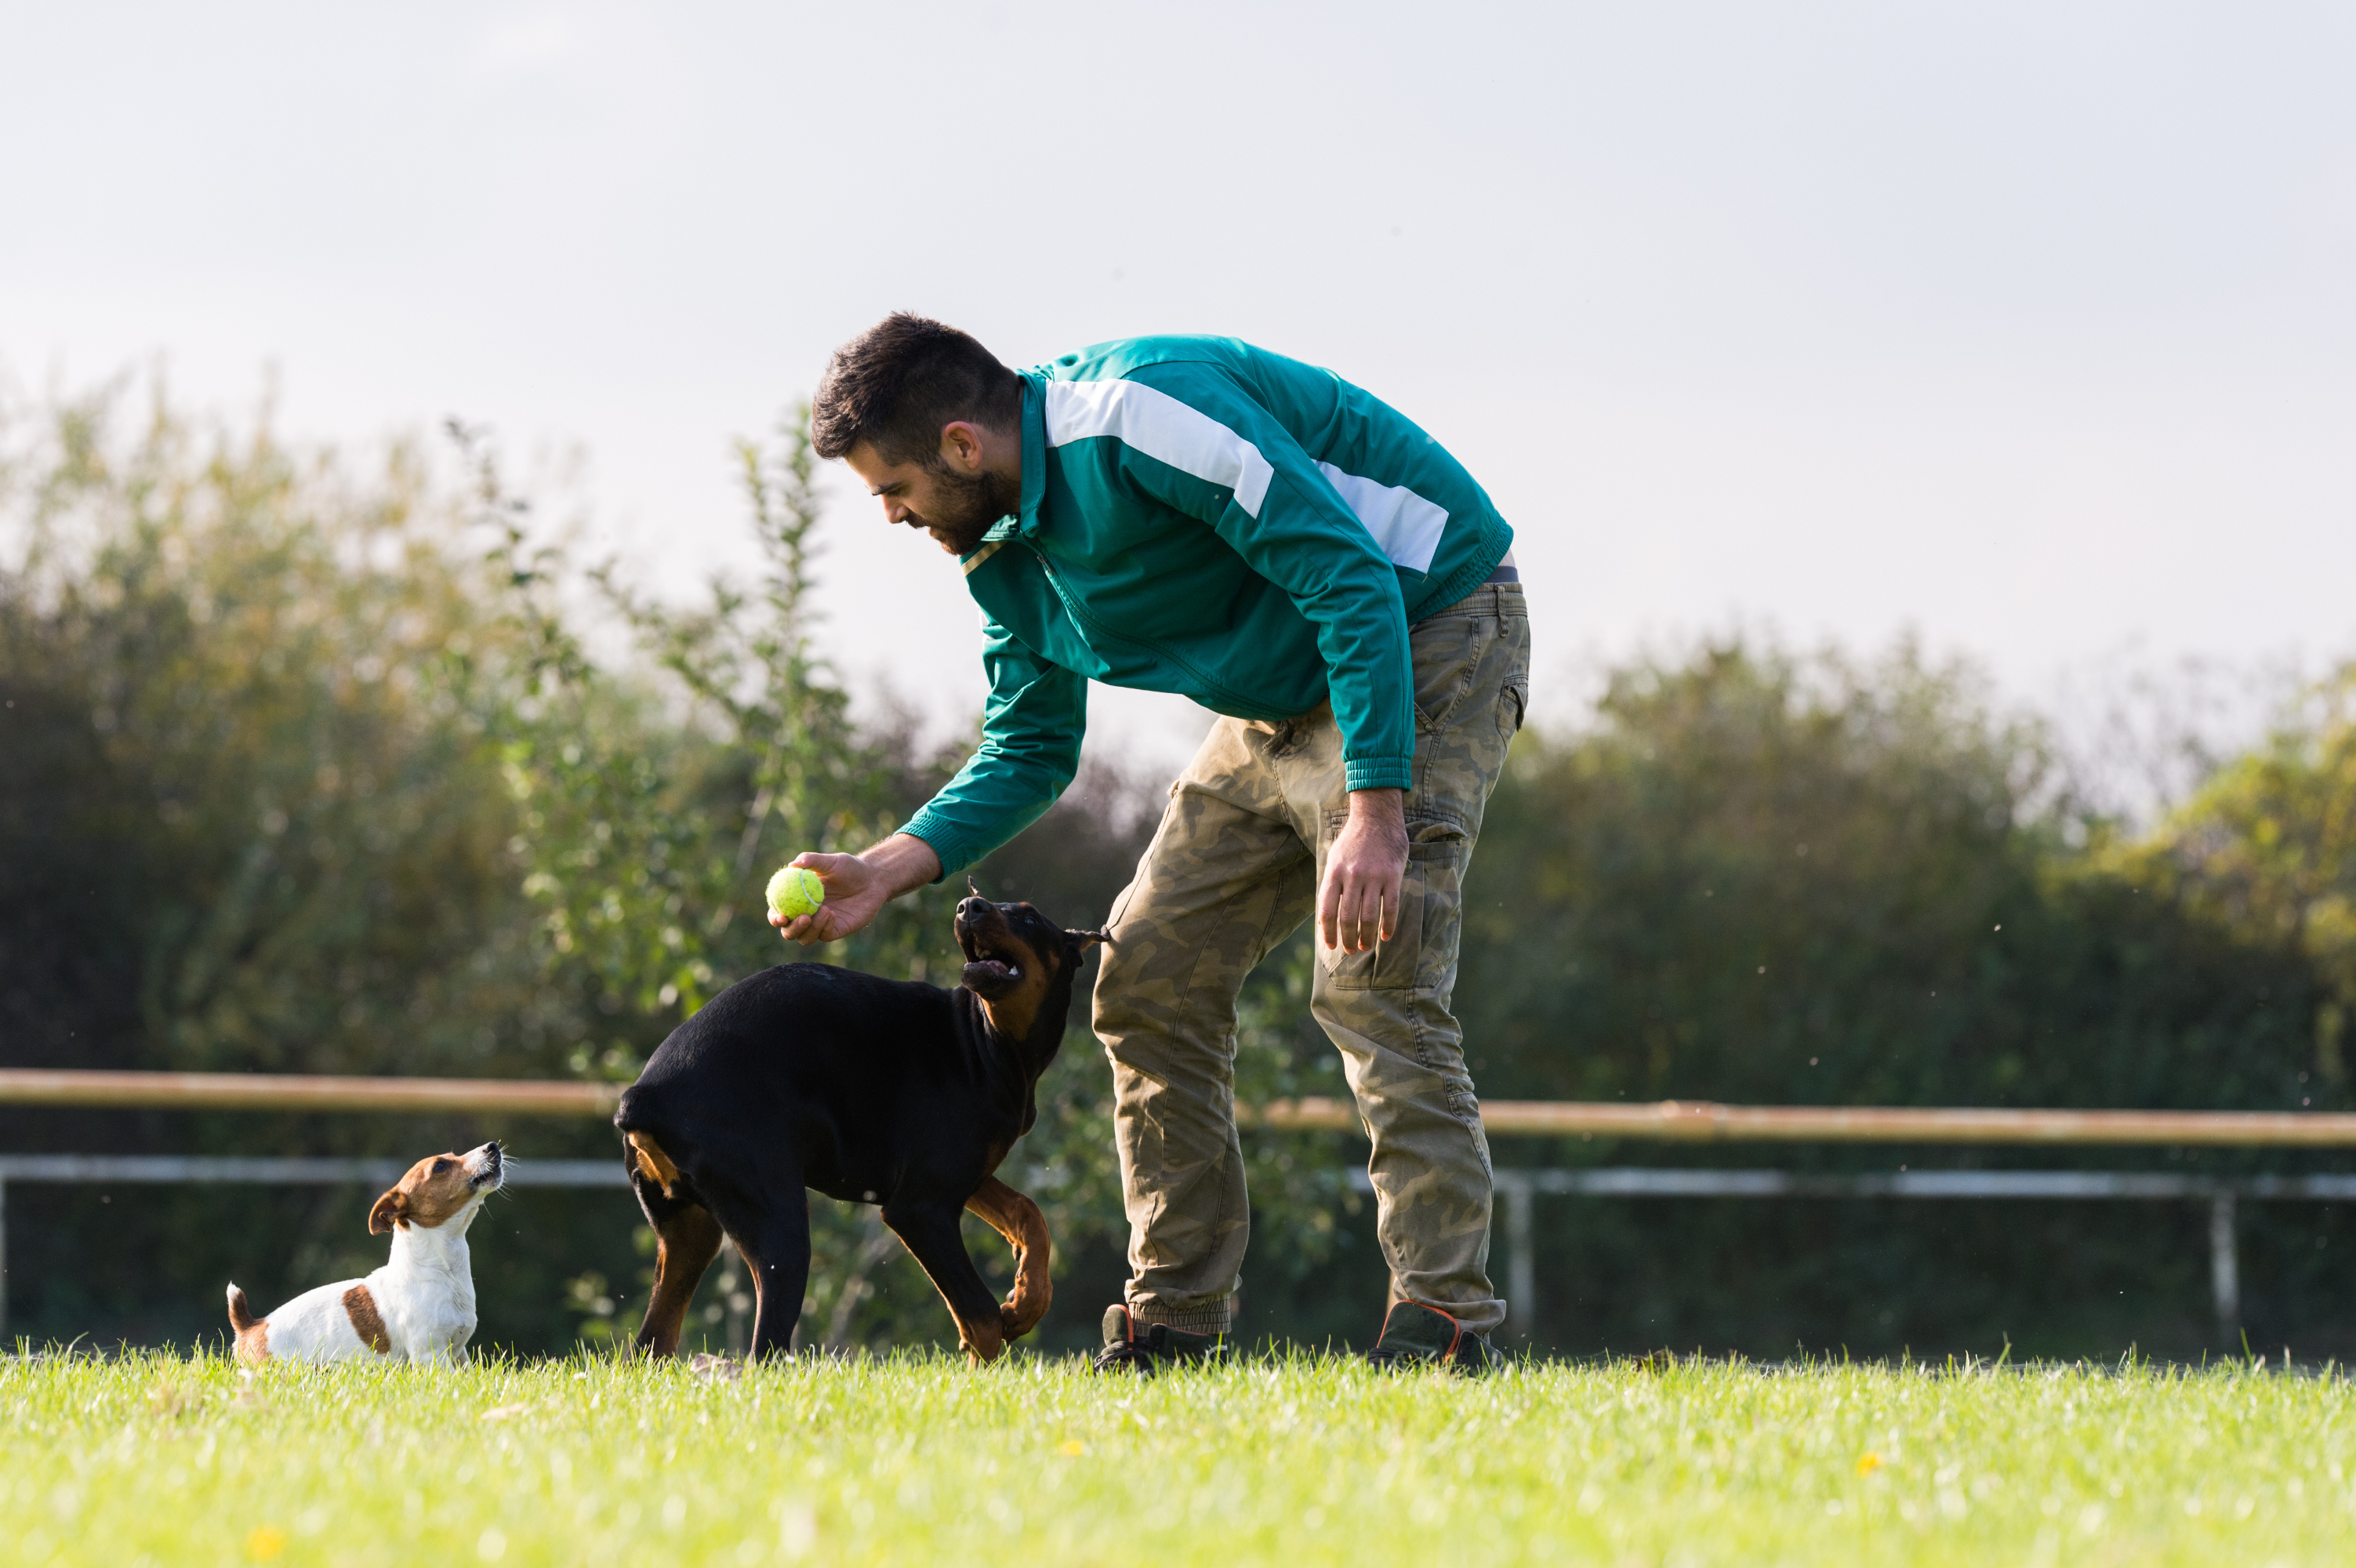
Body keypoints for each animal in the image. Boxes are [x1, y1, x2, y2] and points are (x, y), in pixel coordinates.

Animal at [617, 890, 1112, 1356]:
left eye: (1028, 918)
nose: (969, 906)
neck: (986, 1041)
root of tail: (644, 1095)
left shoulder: (958, 1176)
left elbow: (1029, 1213)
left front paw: (1028, 1301)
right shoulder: (921, 1206)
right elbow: (982, 1319)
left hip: (690, 1233)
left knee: (653, 1343)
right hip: (779, 1229)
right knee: (763, 1349)